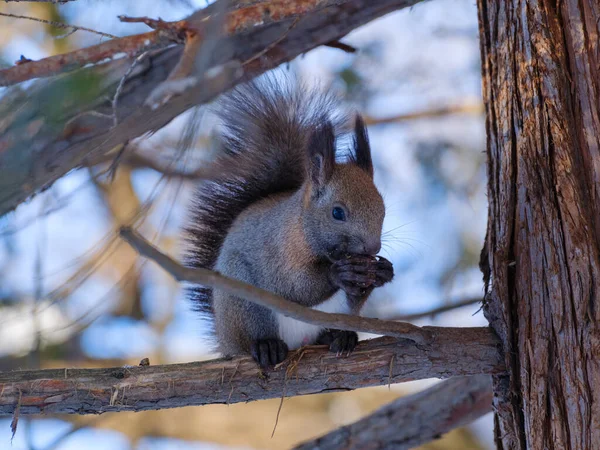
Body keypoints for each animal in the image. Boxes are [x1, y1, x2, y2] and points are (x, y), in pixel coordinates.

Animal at [185, 75, 396, 368]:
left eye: (383, 209)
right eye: (337, 213)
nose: (373, 248)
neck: (302, 227)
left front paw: (384, 270)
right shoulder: (278, 250)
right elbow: (293, 288)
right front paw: (338, 274)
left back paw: (338, 337)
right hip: (244, 301)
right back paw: (266, 346)